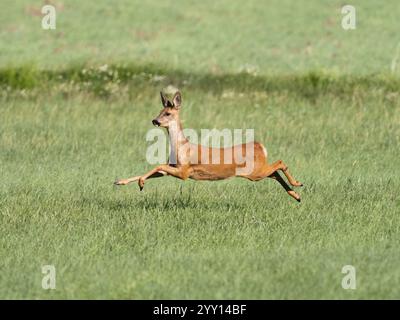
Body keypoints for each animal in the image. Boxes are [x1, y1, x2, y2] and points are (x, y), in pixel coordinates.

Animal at [114, 90, 302, 200]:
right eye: (159, 111)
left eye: (167, 113)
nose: (155, 120)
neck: (182, 147)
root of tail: (261, 147)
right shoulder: (172, 167)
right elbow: (154, 169)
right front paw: (120, 181)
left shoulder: (184, 171)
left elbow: (157, 166)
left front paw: (140, 184)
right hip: (256, 171)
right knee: (275, 172)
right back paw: (296, 195)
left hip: (255, 171)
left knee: (279, 163)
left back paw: (298, 184)